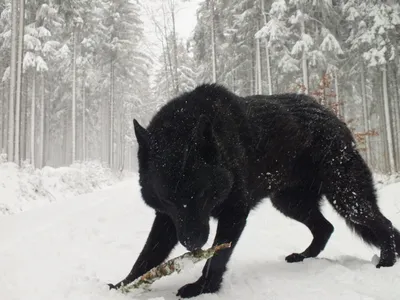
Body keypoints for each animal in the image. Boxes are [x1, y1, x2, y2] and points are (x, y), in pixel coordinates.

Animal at [108, 84, 400, 298]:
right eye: (169, 198)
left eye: (201, 194)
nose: (192, 244)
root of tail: (333, 116)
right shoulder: (169, 219)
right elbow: (147, 254)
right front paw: (124, 285)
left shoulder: (234, 213)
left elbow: (216, 257)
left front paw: (203, 288)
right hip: (289, 203)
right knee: (325, 228)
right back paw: (304, 257)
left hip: (347, 198)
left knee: (383, 224)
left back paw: (386, 262)